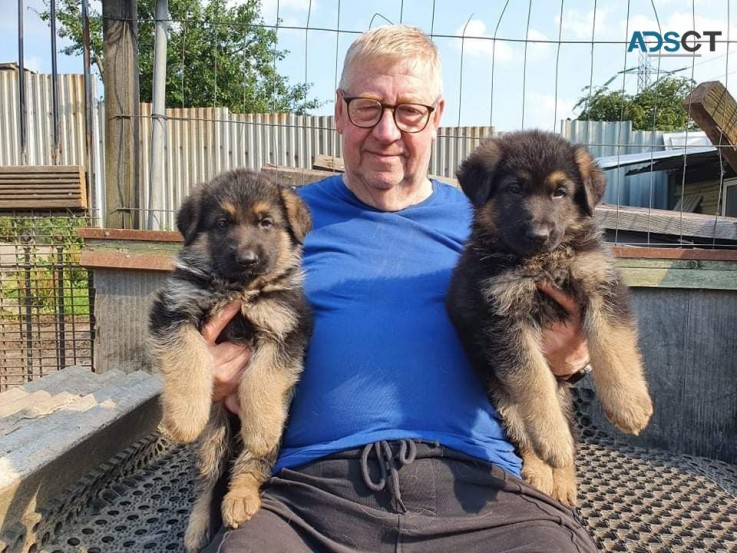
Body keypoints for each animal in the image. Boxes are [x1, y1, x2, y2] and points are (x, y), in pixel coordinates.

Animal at [148, 168, 312, 548]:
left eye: (266, 222)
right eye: (222, 223)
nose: (247, 259)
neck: (239, 288)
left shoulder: (285, 329)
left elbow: (262, 380)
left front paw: (261, 427)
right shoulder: (174, 312)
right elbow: (189, 357)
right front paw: (184, 419)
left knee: (249, 464)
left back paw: (241, 497)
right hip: (214, 439)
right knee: (209, 481)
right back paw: (197, 527)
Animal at [446, 130, 652, 504]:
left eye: (560, 192)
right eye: (514, 189)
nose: (539, 236)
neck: (541, 262)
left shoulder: (601, 285)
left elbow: (611, 343)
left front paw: (629, 404)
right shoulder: (503, 317)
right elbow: (533, 378)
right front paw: (551, 439)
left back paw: (565, 481)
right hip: (503, 397)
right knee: (527, 435)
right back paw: (543, 469)